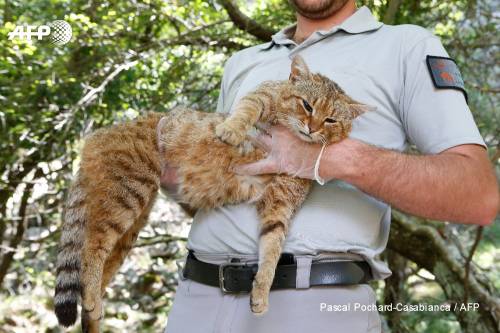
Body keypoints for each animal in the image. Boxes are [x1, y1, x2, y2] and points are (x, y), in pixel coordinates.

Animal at [54, 55, 370, 330]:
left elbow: (272, 248)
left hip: (131, 222)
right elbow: (246, 109)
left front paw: (261, 291)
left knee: (96, 265)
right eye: (306, 105)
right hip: (128, 193)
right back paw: (92, 299)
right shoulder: (263, 94)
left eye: (331, 120)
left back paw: (93, 312)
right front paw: (230, 130)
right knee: (91, 248)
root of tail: (98, 135)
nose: (311, 128)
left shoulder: (280, 203)